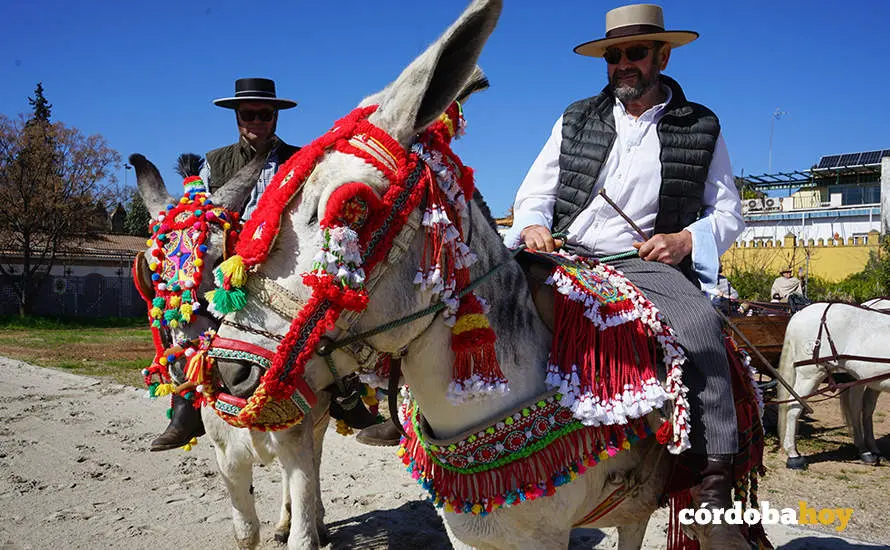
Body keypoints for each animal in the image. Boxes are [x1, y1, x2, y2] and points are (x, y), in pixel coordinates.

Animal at [131, 154, 333, 549]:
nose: (184, 361)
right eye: (153, 269)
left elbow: (304, 527)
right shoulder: (228, 458)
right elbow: (245, 532)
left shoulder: (298, 443)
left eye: (218, 258)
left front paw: (307, 524)